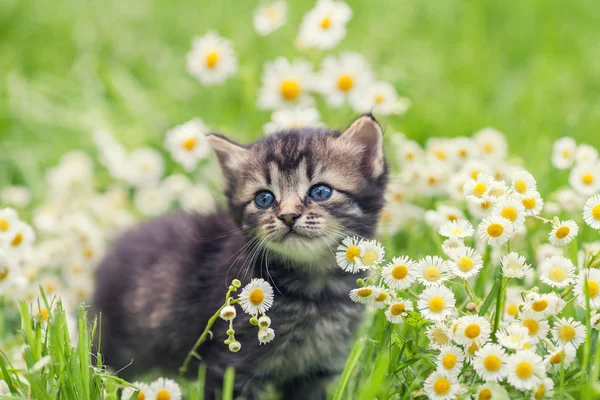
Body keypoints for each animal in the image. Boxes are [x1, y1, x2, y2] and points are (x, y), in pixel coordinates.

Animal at [91, 114, 386, 398]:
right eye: (264, 199)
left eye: (320, 192)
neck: (315, 291)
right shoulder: (232, 366)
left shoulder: (317, 370)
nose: (288, 216)